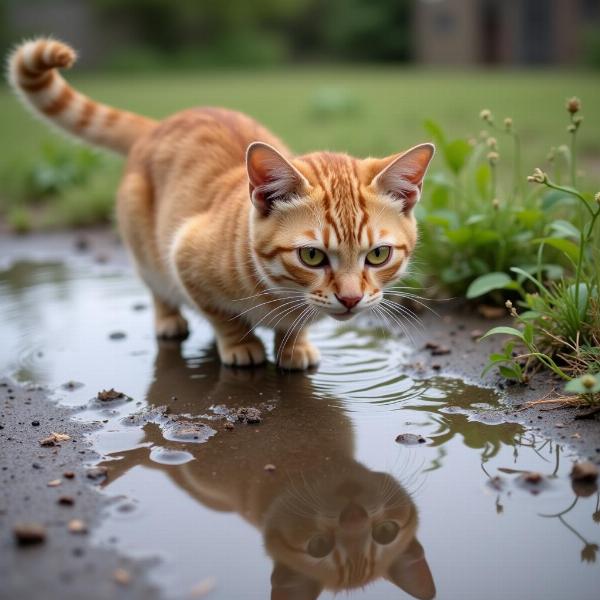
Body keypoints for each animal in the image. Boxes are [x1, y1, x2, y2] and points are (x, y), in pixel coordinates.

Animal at [7, 37, 434, 370]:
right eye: (312, 256)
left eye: (377, 255)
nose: (350, 299)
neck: (280, 296)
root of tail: (159, 124)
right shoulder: (183, 255)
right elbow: (223, 316)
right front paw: (242, 345)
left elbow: (295, 328)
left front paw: (294, 345)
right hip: (147, 251)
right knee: (157, 289)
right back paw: (170, 321)